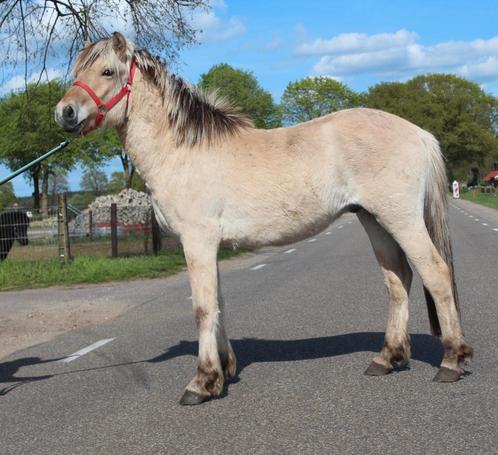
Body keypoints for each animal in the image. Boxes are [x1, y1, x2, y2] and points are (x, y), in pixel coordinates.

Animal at [56, 33, 472, 406]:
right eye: (77, 70)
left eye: (107, 71)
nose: (64, 112)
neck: (183, 151)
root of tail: (420, 133)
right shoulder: (210, 246)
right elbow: (218, 303)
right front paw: (224, 370)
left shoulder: (198, 240)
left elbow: (202, 307)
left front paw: (202, 383)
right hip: (373, 220)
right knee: (397, 280)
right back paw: (386, 358)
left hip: (401, 219)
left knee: (436, 273)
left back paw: (451, 361)